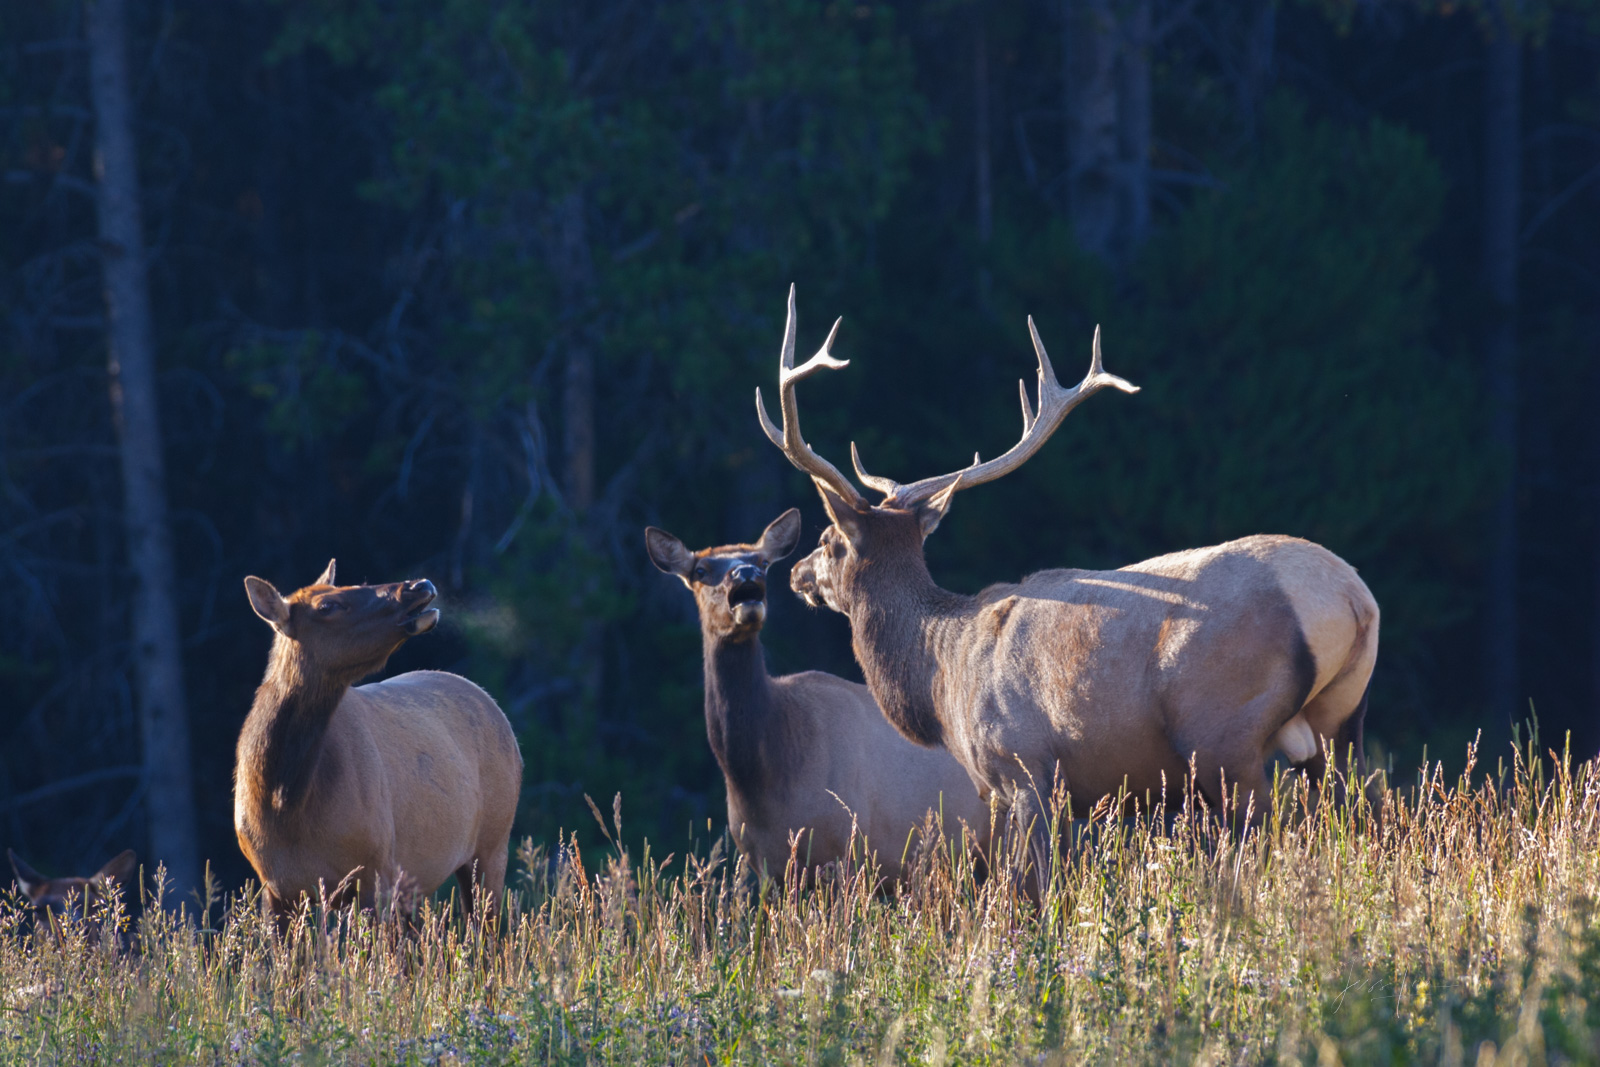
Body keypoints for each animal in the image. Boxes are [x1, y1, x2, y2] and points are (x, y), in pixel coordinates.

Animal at [233, 563, 521, 921]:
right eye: (327, 605)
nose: (419, 584)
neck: (283, 802)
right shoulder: (273, 887)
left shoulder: (375, 869)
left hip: (494, 842)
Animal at [758, 287, 1376, 870]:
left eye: (828, 541)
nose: (795, 575)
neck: (942, 681)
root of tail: (1353, 598)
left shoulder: (1022, 768)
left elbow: (1026, 889)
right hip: (1339, 724)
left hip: (1224, 731)